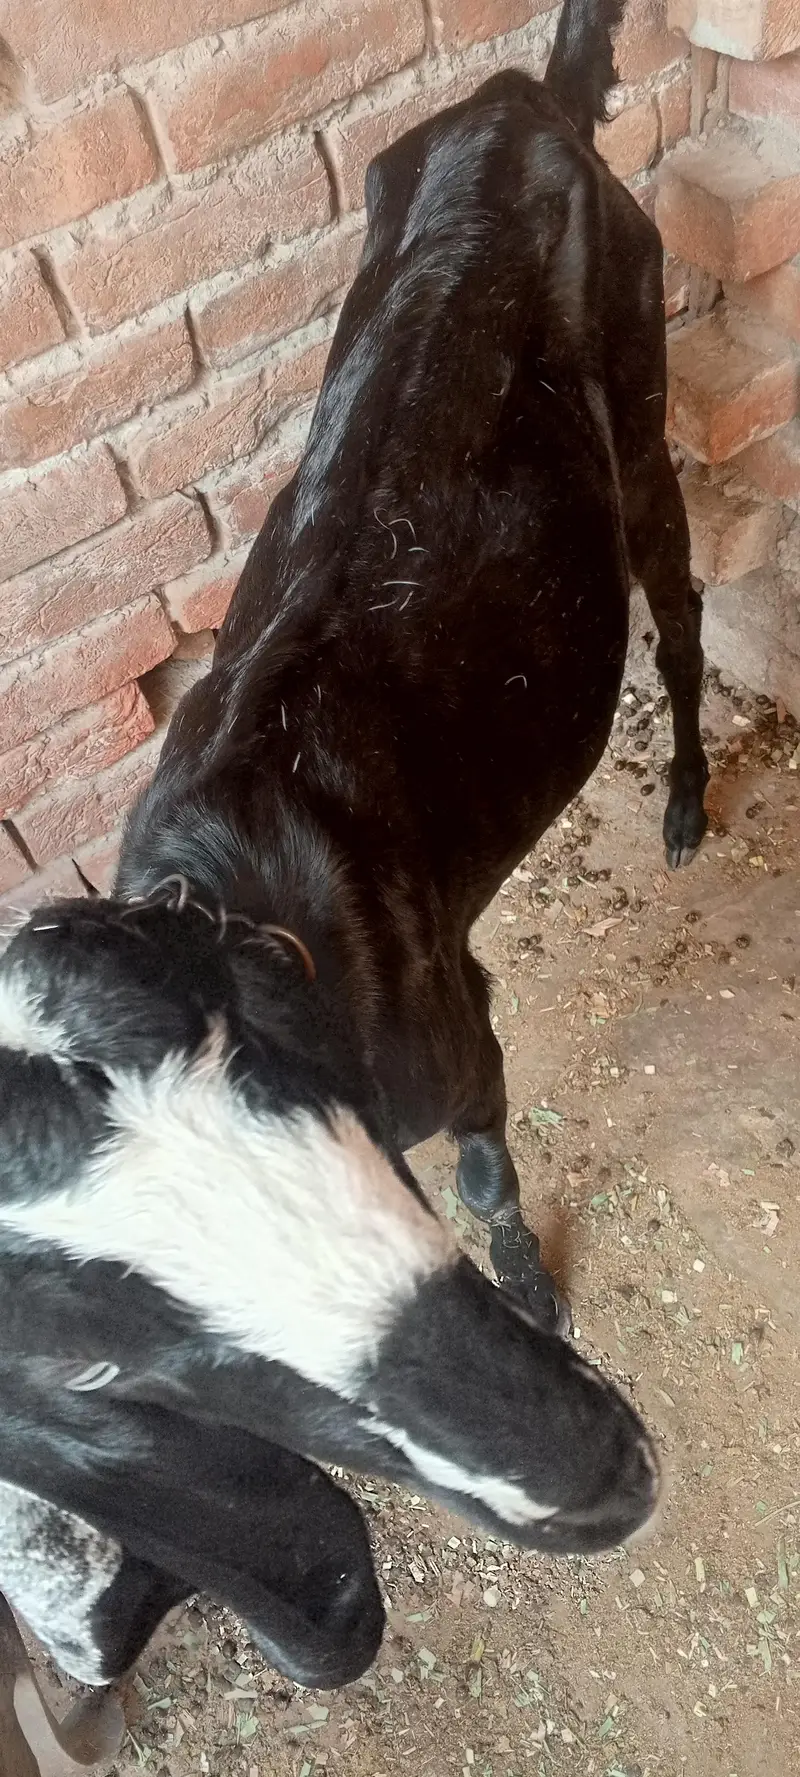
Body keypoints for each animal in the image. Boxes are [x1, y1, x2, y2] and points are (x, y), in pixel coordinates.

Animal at [0, 0, 704, 1696]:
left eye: (272, 1078)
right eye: (110, 1365)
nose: (595, 1472)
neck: (244, 899)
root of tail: (521, 98)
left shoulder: (461, 1026)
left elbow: (497, 1181)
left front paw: (544, 1294)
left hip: (645, 387)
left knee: (686, 614)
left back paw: (689, 806)